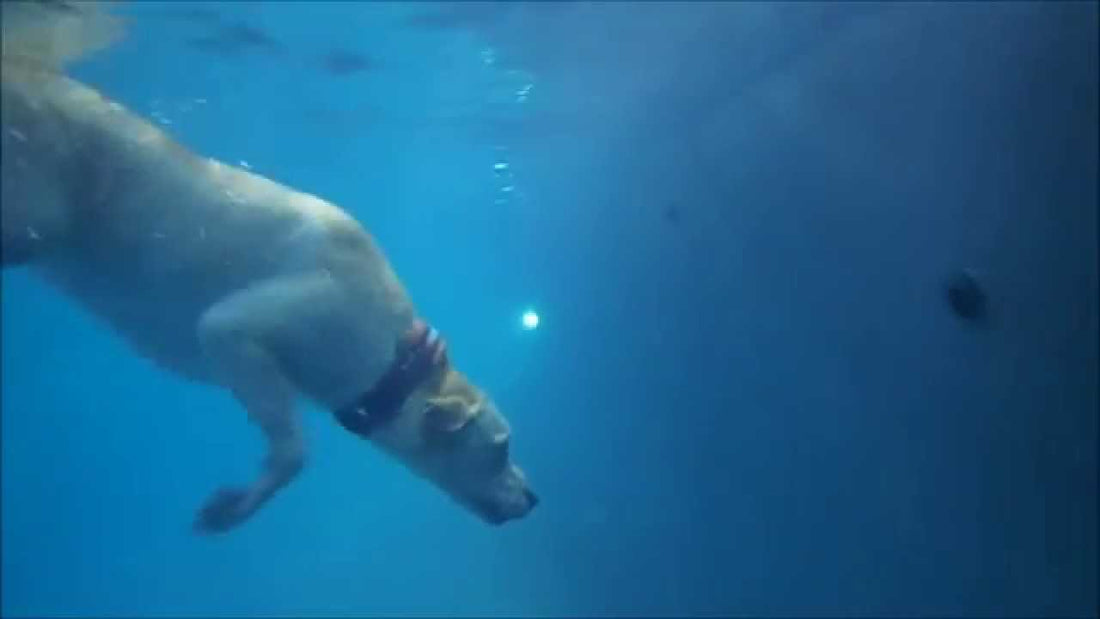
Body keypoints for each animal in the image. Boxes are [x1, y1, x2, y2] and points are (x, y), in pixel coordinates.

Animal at [0, 0, 539, 532]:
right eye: (501, 448)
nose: (534, 498)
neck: (396, 356)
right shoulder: (235, 328)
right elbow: (293, 451)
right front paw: (237, 504)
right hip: (43, 214)